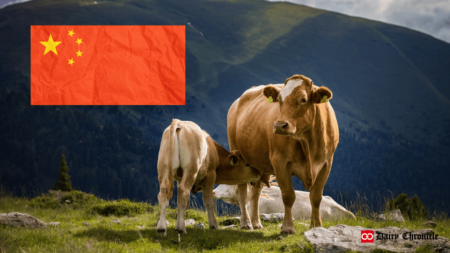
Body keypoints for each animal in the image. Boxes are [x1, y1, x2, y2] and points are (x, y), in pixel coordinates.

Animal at [229, 74, 338, 233]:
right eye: (279, 100)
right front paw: (287, 227)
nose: (280, 125)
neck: (308, 143)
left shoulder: (326, 164)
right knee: (243, 191)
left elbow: (316, 197)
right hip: (237, 154)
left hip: (259, 163)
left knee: (256, 191)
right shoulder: (280, 163)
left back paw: (256, 222)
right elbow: (288, 196)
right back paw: (246, 223)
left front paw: (317, 226)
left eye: (303, 99)